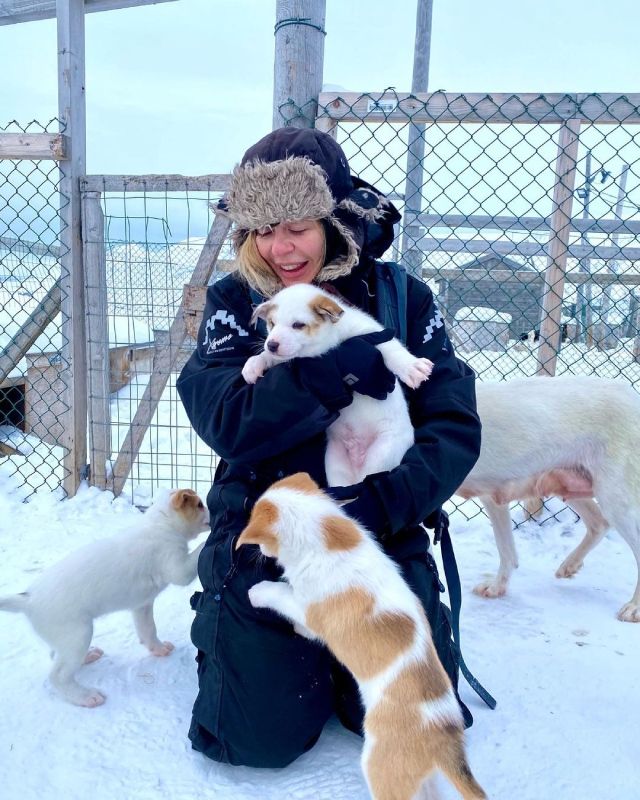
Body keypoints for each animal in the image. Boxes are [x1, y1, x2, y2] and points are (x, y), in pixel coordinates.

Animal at [0, 488, 209, 708]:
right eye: (199, 505)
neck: (161, 524)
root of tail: (28, 600)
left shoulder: (142, 605)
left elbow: (148, 631)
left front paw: (158, 649)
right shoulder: (178, 570)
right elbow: (194, 557)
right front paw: (208, 542)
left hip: (65, 639)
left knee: (55, 654)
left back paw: (88, 657)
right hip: (78, 635)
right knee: (58, 675)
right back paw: (85, 696)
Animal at [238, 472, 488, 800]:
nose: (261, 554)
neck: (328, 536)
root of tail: (445, 740)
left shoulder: (306, 605)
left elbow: (280, 593)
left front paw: (257, 592)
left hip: (381, 766)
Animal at [458, 376, 640, 624]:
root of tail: (632, 396)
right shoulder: (494, 499)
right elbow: (508, 552)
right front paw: (497, 588)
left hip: (615, 498)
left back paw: (635, 607)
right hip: (571, 486)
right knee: (599, 523)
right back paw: (569, 565)